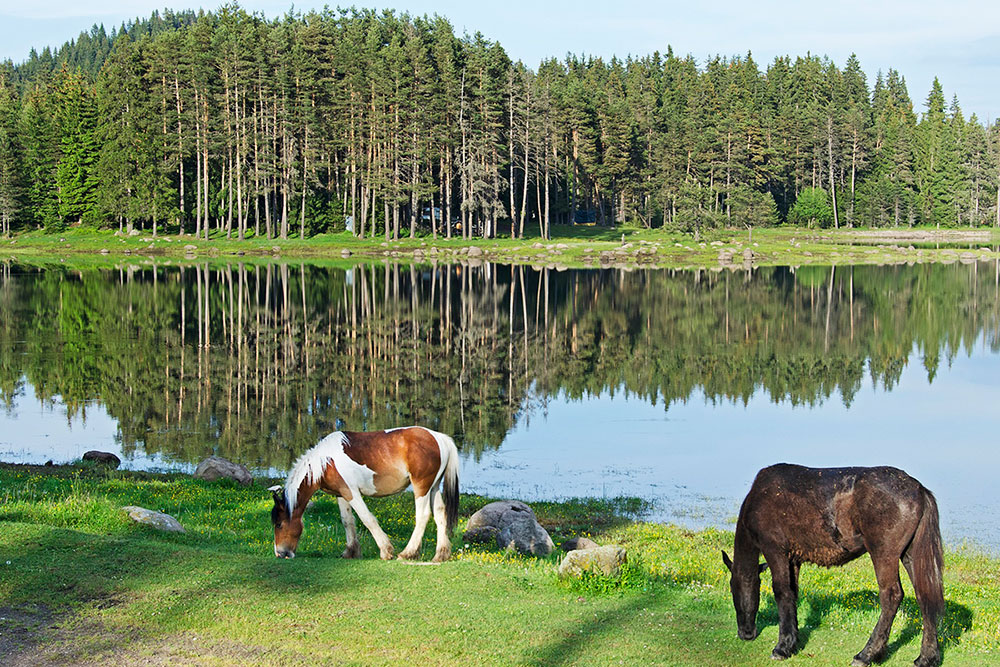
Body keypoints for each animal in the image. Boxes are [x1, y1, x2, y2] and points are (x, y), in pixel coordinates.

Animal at [272, 428, 462, 564]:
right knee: (440, 514)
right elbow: (347, 521)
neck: (325, 461)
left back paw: (408, 553)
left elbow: (367, 518)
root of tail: (439, 438)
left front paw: (386, 551)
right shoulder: (341, 494)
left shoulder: (352, 492)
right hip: (433, 487)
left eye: (279, 524)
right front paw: (350, 552)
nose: (280, 553)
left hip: (421, 487)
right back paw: (440, 555)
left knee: (423, 515)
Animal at [724, 464, 940, 667]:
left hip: (883, 554)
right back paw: (926, 658)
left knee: (891, 596)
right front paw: (792, 642)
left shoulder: (775, 551)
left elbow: (782, 592)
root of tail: (918, 489)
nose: (746, 633)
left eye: (732, 589)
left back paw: (866, 654)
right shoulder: (793, 560)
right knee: (924, 598)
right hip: (909, 555)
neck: (760, 496)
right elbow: (792, 593)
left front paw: (782, 648)